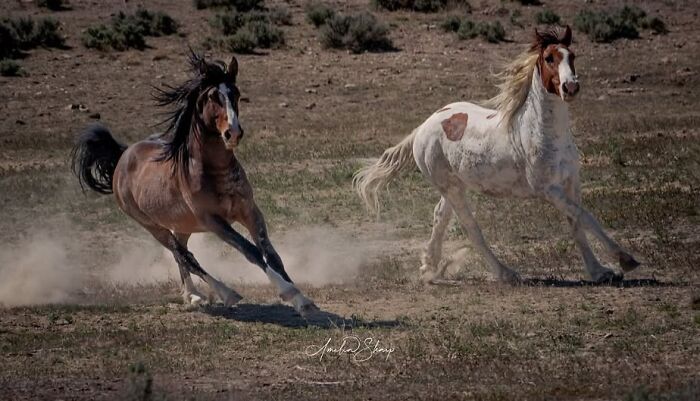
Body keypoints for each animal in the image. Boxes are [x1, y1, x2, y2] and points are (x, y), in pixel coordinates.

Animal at [71, 52, 318, 317]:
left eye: (236, 93)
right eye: (212, 96)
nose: (233, 133)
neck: (214, 171)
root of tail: (123, 156)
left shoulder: (250, 211)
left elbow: (271, 254)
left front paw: (302, 300)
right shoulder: (214, 221)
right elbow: (250, 251)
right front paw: (288, 292)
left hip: (182, 226)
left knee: (181, 255)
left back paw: (193, 296)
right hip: (153, 226)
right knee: (185, 256)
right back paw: (223, 293)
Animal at [354, 26, 640, 284]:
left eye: (572, 55)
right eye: (549, 58)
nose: (570, 87)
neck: (546, 133)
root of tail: (424, 126)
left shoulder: (571, 183)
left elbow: (577, 222)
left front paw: (599, 271)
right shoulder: (549, 190)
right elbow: (585, 216)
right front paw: (626, 259)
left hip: (454, 186)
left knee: (440, 217)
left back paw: (429, 268)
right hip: (452, 189)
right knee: (471, 229)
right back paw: (506, 274)